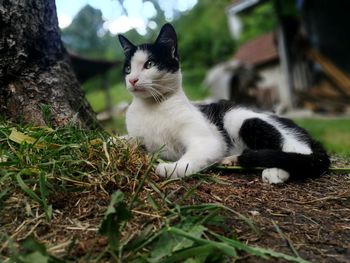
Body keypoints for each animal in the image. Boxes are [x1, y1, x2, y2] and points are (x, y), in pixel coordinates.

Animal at [118, 23, 330, 185]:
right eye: (128, 68)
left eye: (150, 64)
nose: (132, 80)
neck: (151, 107)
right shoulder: (138, 136)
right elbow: (127, 139)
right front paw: (113, 140)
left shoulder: (210, 140)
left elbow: (194, 156)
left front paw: (172, 168)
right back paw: (232, 159)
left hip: (237, 117)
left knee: (297, 150)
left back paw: (275, 170)